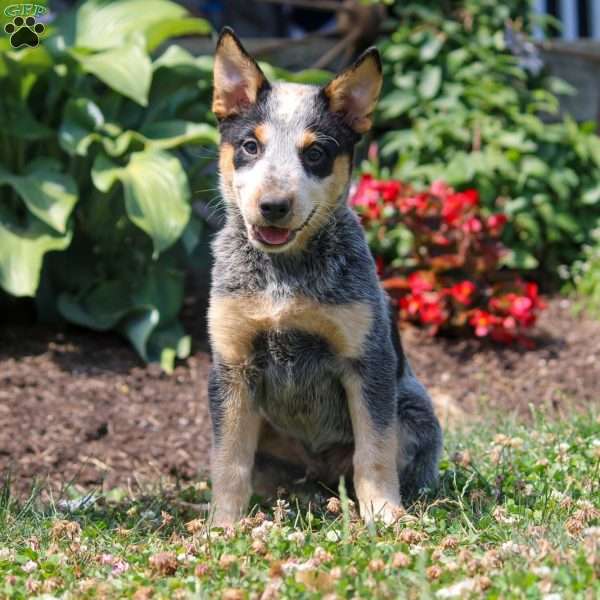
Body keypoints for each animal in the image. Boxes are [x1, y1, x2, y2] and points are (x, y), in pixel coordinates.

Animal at [209, 28, 442, 524]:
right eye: (250, 146)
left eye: (315, 152)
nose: (273, 206)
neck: (284, 276)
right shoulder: (233, 366)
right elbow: (228, 461)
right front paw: (222, 526)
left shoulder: (367, 361)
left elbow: (374, 451)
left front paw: (385, 514)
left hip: (414, 409)